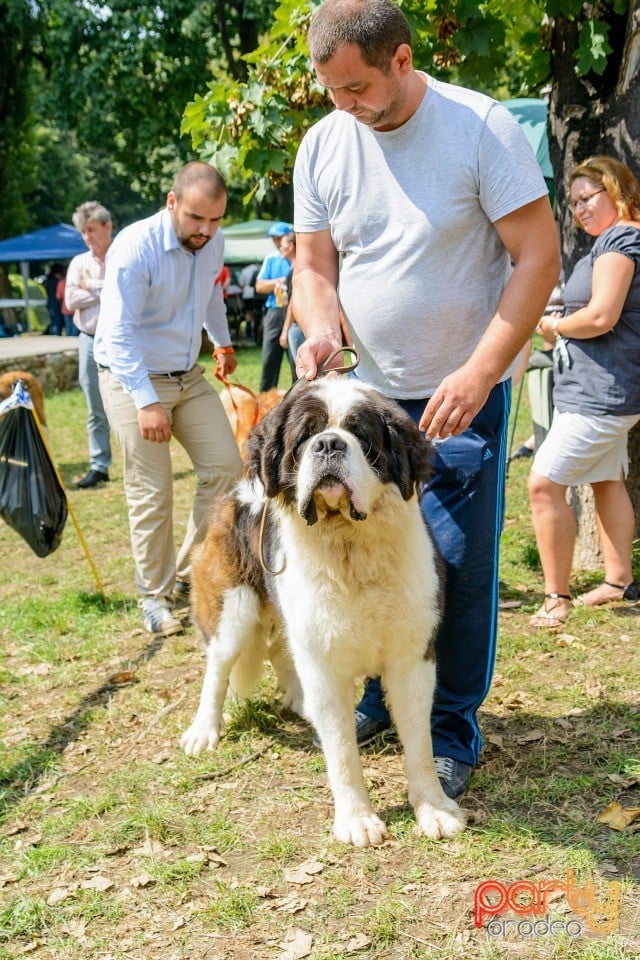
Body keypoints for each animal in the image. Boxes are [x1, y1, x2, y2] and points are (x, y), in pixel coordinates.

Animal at [180, 376, 464, 848]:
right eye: (306, 436)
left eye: (361, 435)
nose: (329, 444)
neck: (349, 546)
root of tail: (237, 490)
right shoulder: (325, 665)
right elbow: (342, 752)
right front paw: (356, 819)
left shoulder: (412, 659)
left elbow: (420, 743)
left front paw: (434, 808)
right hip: (233, 610)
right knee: (218, 669)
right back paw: (204, 729)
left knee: (279, 652)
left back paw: (297, 700)